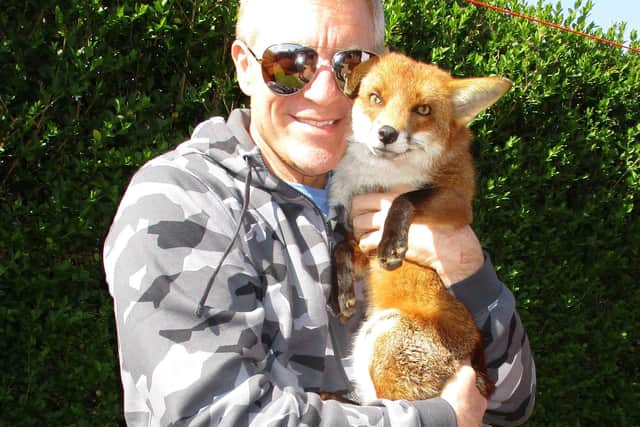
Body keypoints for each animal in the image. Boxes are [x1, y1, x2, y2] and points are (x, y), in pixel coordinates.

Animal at [328, 51, 512, 402]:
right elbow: (339, 247)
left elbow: (406, 198)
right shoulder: (361, 236)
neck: (380, 175)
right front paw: (341, 294)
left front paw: (393, 244)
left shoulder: (457, 200)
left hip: (385, 336)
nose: (387, 133)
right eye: (376, 98)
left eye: (423, 110)